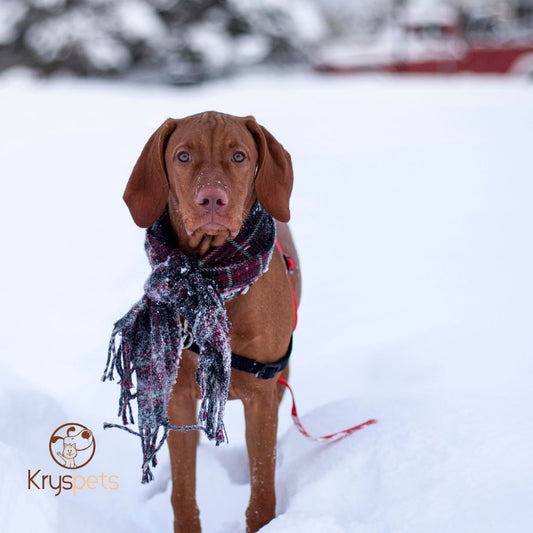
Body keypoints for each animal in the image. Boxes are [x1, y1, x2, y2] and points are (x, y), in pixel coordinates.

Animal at [122, 110, 302, 528]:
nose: (212, 199)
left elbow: (262, 490)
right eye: (183, 156)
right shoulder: (178, 396)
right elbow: (183, 491)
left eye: (238, 156)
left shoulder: (262, 396)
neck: (214, 279)